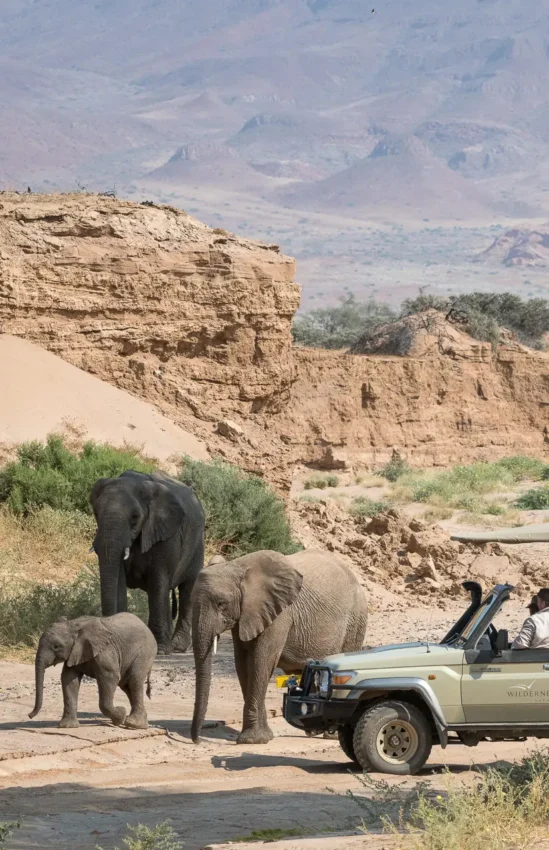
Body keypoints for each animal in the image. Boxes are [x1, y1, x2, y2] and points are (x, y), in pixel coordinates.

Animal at [28, 613, 157, 729]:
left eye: (56, 646)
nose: (29, 715)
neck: (73, 624)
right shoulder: (74, 652)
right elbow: (69, 679)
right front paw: (67, 726)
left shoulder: (105, 651)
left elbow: (110, 677)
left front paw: (120, 715)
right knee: (126, 685)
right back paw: (139, 724)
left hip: (145, 653)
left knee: (134, 681)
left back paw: (133, 724)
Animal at [91, 470, 205, 654]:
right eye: (95, 513)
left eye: (135, 517)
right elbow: (119, 582)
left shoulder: (166, 534)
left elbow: (158, 581)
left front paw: (161, 651)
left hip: (197, 544)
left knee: (187, 589)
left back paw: (177, 647)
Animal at [191, 549, 368, 745]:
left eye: (221, 604)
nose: (197, 740)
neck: (238, 566)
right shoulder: (246, 615)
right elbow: (243, 664)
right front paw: (263, 737)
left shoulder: (279, 614)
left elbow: (261, 662)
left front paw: (252, 740)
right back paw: (312, 731)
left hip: (356, 618)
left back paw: (331, 735)